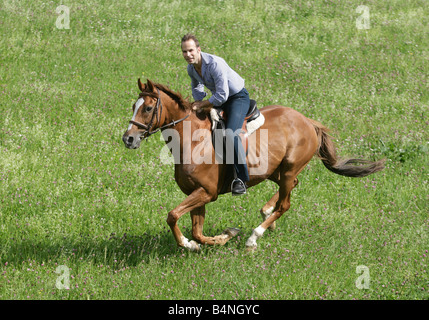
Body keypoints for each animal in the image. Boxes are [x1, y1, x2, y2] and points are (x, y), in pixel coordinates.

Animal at [121, 79, 384, 251]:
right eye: (134, 107)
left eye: (147, 108)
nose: (128, 139)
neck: (192, 140)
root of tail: (308, 122)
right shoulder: (197, 194)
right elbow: (196, 230)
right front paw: (217, 238)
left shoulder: (206, 192)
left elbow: (173, 216)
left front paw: (191, 243)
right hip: (275, 171)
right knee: (291, 188)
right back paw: (267, 213)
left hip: (288, 168)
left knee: (285, 203)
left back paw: (255, 236)